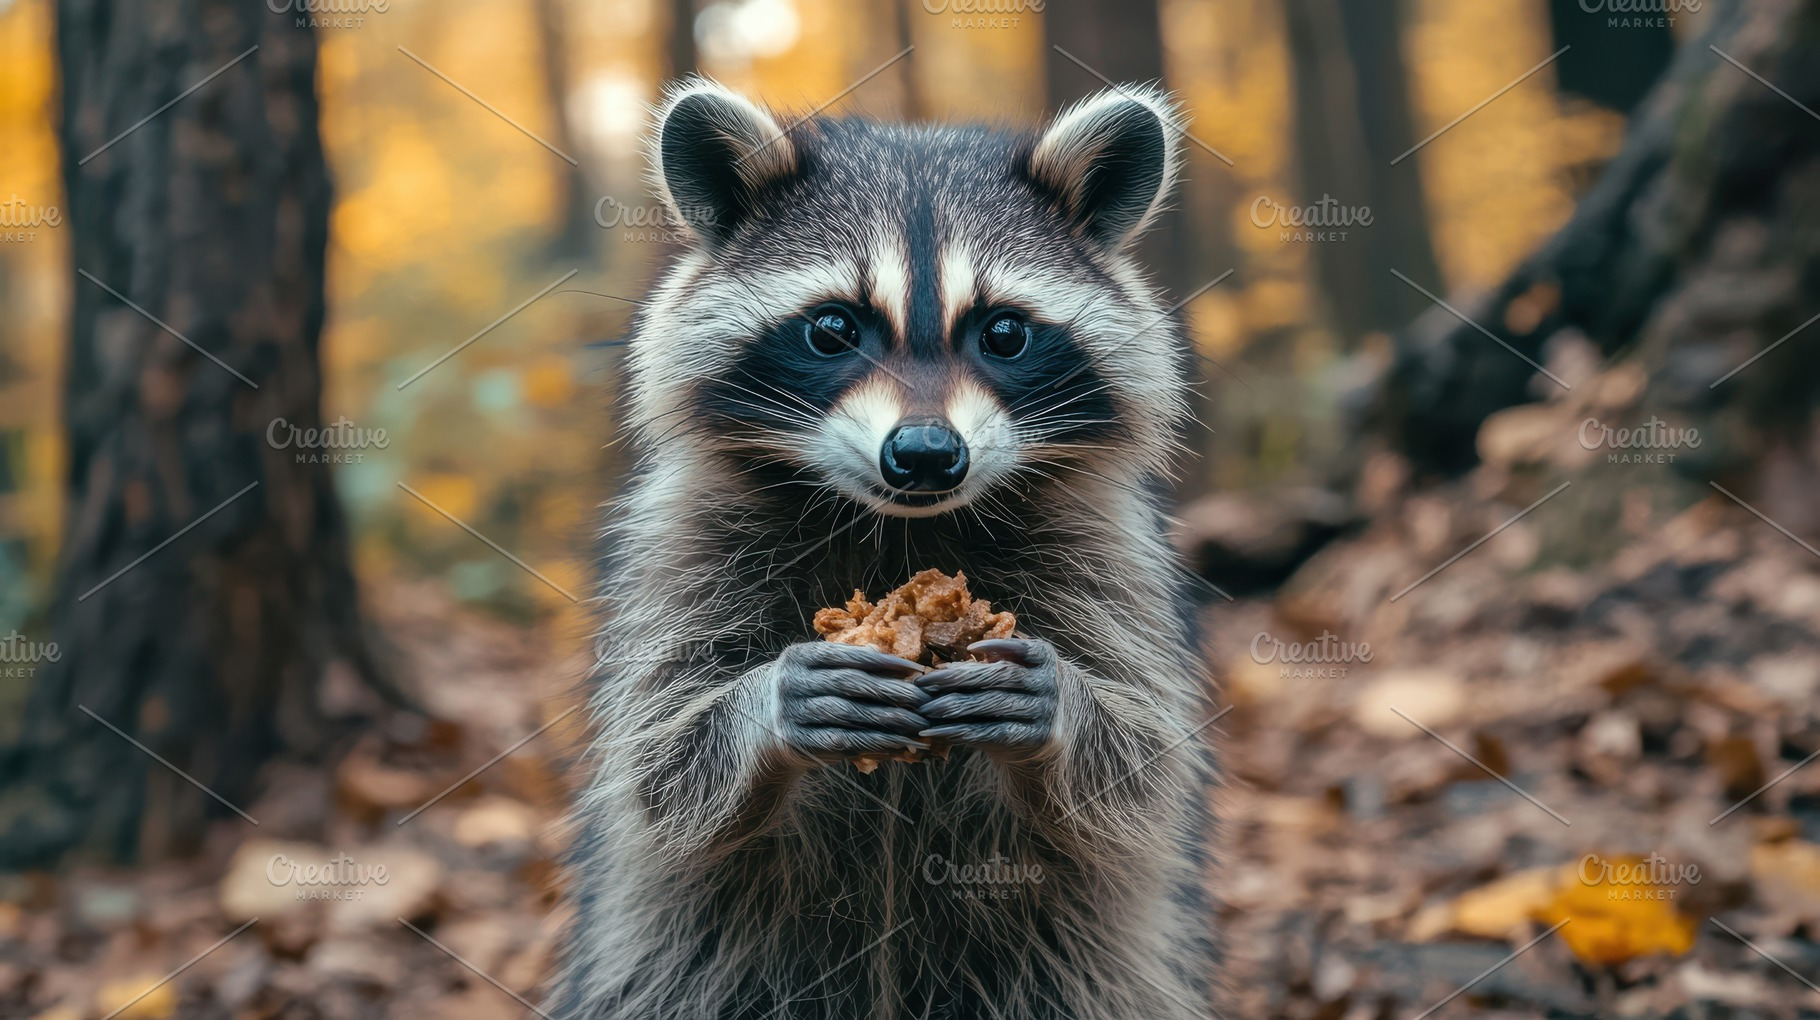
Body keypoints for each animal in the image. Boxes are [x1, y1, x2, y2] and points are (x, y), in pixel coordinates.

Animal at [554, 79, 1222, 1020]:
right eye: (834, 329)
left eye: (1003, 333)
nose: (927, 454)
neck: (901, 529)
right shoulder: (683, 541)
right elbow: (659, 760)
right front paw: (765, 706)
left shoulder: (1109, 549)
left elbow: (1142, 767)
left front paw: (1059, 705)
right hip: (684, 963)